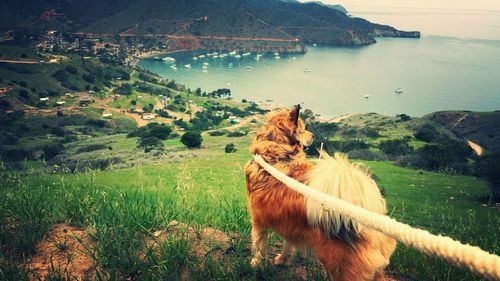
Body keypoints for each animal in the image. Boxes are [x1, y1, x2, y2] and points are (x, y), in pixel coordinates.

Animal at [244, 105, 396, 280]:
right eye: (302, 129)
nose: (313, 135)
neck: (278, 155)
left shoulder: (259, 221)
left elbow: (259, 246)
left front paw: (257, 265)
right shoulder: (291, 222)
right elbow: (288, 243)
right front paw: (283, 260)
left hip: (343, 267)